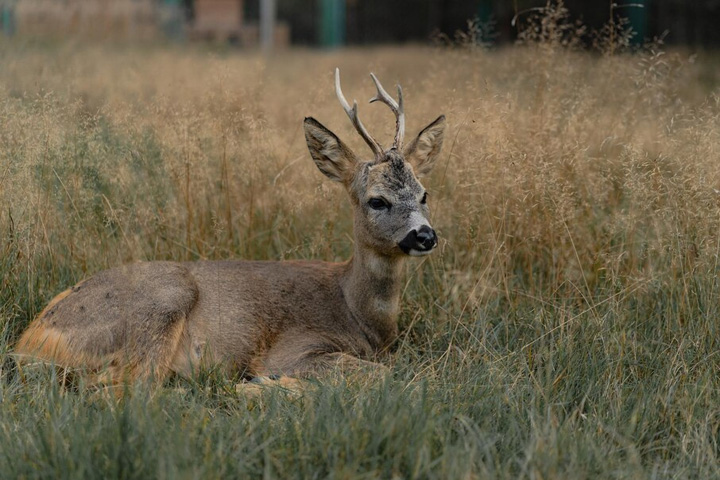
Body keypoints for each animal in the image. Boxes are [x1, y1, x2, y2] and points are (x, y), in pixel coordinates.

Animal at [14, 68, 444, 390]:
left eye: (424, 194)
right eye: (377, 200)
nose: (425, 236)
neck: (360, 314)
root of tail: (29, 340)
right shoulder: (296, 348)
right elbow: (385, 374)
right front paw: (264, 383)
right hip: (162, 299)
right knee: (126, 387)